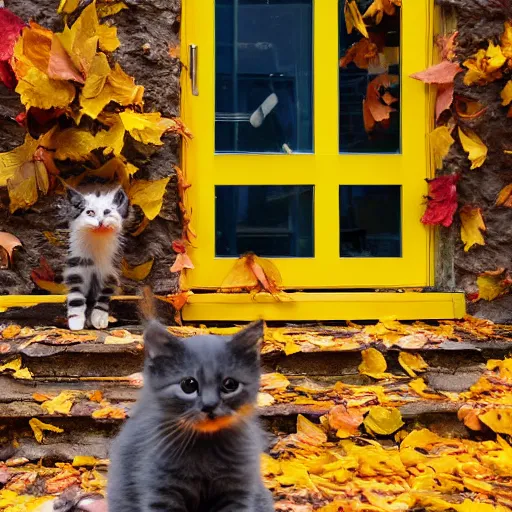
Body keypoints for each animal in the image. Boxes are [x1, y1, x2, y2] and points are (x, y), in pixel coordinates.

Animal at [64, 186, 129, 330]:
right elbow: (76, 296)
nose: (100, 221)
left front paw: (99, 318)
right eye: (90, 213)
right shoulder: (76, 267)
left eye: (107, 212)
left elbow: (104, 296)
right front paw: (76, 321)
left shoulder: (111, 270)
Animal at [107, 320, 274, 512]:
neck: (206, 447)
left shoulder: (238, 491)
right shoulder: (160, 490)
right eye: (188, 385)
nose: (209, 405)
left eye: (230, 384)